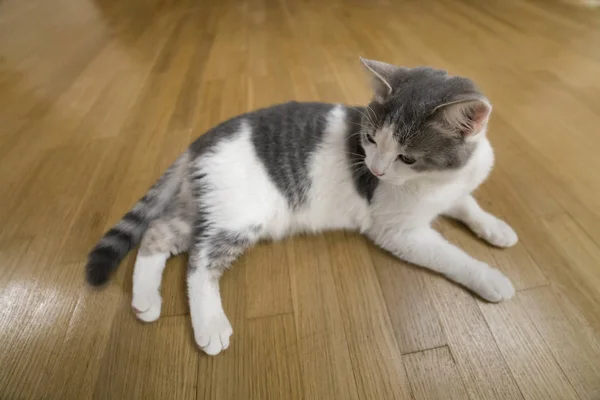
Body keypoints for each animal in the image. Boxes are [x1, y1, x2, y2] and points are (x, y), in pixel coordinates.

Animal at [86, 57, 516, 356]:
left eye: (407, 158)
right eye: (369, 139)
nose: (374, 169)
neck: (437, 181)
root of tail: (199, 141)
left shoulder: (453, 190)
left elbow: (467, 204)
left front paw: (496, 227)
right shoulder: (397, 230)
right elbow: (451, 256)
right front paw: (489, 278)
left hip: (203, 206)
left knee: (157, 231)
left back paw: (145, 301)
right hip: (241, 216)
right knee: (199, 262)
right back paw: (209, 324)